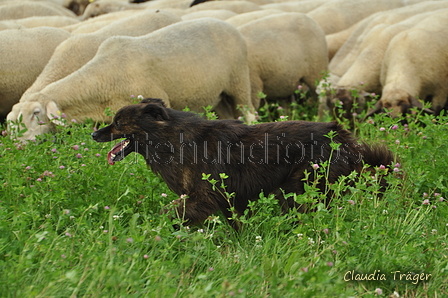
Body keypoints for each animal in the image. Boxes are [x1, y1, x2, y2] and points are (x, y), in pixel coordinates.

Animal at [7, 18, 256, 140]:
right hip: (220, 95)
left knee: (250, 113)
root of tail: (226, 22)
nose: (17, 145)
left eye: (36, 113)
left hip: (239, 80)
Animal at [91, 99, 396, 229]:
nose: (93, 134)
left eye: (118, 123)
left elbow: (168, 215)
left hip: (297, 189)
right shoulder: (227, 200)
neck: (171, 138)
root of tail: (344, 138)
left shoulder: (202, 197)